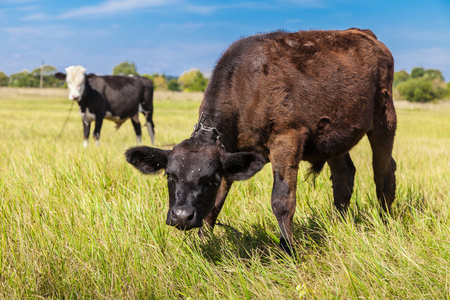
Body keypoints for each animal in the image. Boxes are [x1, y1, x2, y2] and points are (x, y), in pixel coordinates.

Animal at [125, 27, 396, 253]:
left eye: (210, 178)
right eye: (169, 176)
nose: (182, 216)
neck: (245, 86)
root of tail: (363, 33)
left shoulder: (286, 138)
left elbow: (282, 200)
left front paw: (288, 250)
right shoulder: (229, 154)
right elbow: (215, 205)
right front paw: (203, 246)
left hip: (384, 117)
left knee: (383, 172)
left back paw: (386, 222)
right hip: (334, 138)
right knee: (344, 175)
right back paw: (337, 223)